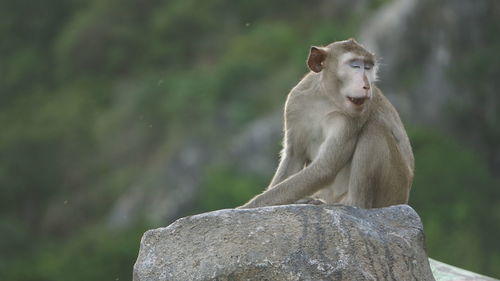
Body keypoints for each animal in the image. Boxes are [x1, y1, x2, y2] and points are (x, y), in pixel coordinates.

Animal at [238, 38, 414, 207]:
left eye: (368, 67)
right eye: (355, 66)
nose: (367, 85)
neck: (326, 97)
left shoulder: (354, 116)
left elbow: (325, 167)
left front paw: (246, 207)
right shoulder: (295, 102)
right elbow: (294, 155)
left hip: (394, 188)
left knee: (374, 127)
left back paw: (353, 203)